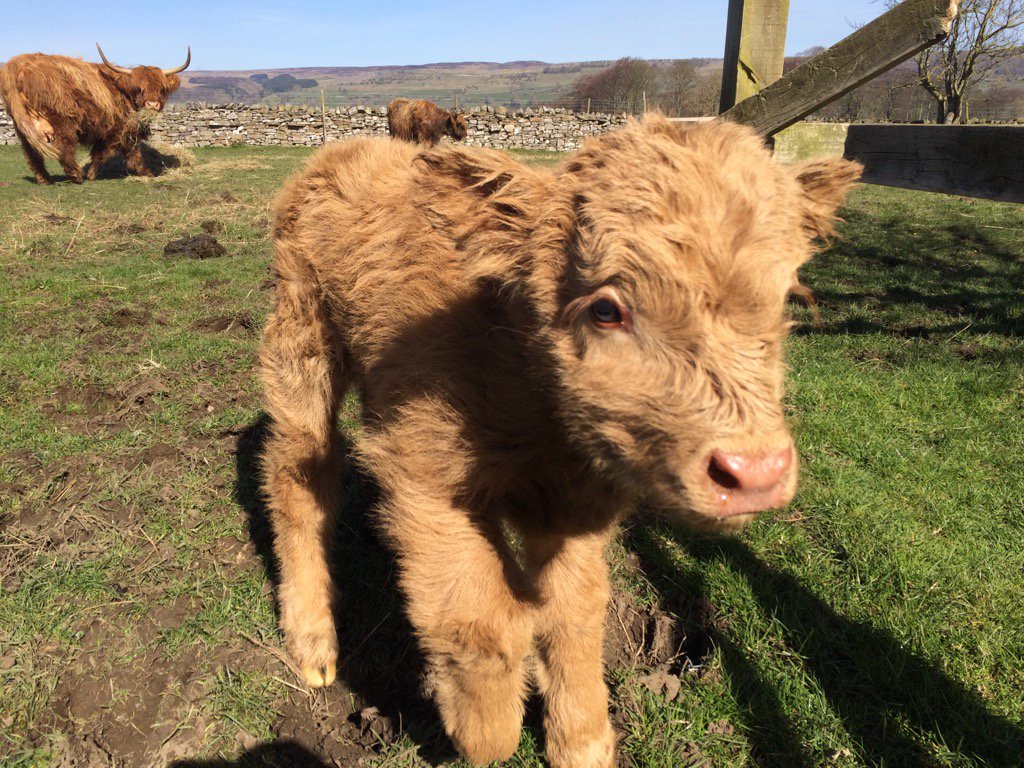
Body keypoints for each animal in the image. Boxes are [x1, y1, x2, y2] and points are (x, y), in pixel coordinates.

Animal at [0, 44, 189, 185]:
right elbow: (117, 153)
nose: (152, 104)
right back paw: (76, 176)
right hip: (62, 120)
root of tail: (17, 64)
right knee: (64, 147)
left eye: (161, 88)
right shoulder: (118, 129)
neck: (122, 90)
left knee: (31, 154)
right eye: (139, 88)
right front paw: (146, 173)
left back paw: (45, 179)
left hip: (23, 126)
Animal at [259, 115, 860, 767]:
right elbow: (482, 619)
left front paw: (583, 741)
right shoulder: (426, 474)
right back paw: (314, 642)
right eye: (606, 309)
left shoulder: (572, 507)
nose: (755, 472)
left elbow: (573, 613)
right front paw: (486, 735)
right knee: (299, 474)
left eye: (785, 298)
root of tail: (343, 151)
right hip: (301, 342)